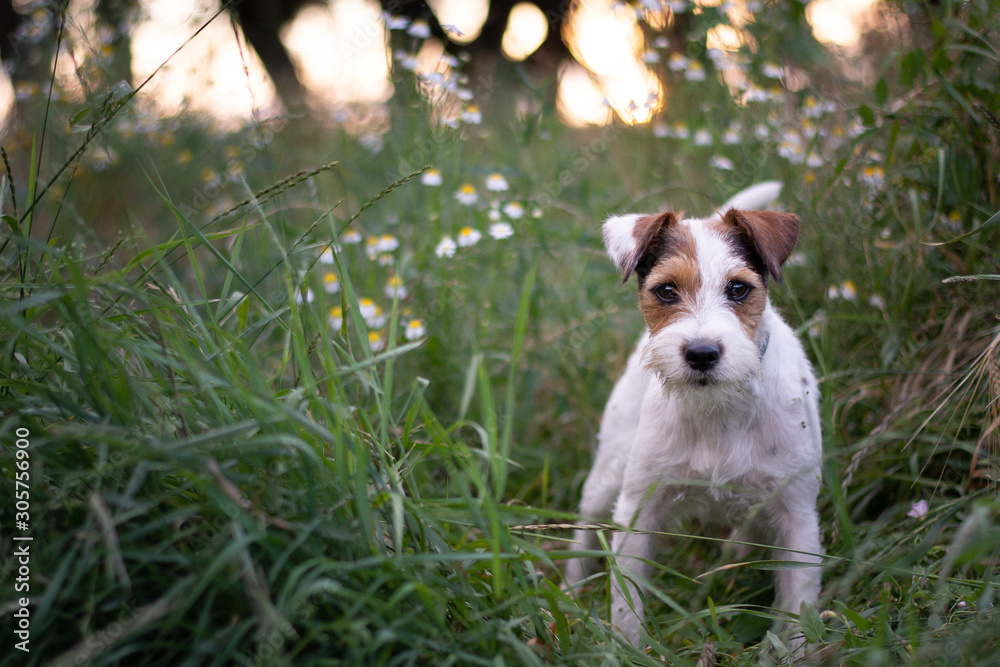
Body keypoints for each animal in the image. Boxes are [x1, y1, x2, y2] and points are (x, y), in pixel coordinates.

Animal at [568, 181, 824, 648]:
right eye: (666, 291)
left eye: (739, 289)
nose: (702, 354)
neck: (718, 410)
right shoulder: (638, 510)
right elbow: (626, 606)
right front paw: (626, 650)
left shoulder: (798, 518)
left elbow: (798, 609)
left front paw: (790, 650)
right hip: (608, 474)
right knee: (583, 529)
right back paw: (569, 589)